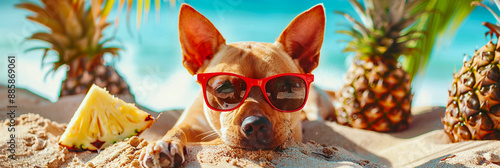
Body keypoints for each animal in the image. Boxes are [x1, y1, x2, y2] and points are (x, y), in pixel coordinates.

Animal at [139, 3, 334, 167]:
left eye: (285, 89)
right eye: (224, 89)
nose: (256, 124)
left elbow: (215, 140)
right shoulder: (190, 122)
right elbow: (177, 129)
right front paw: (165, 143)